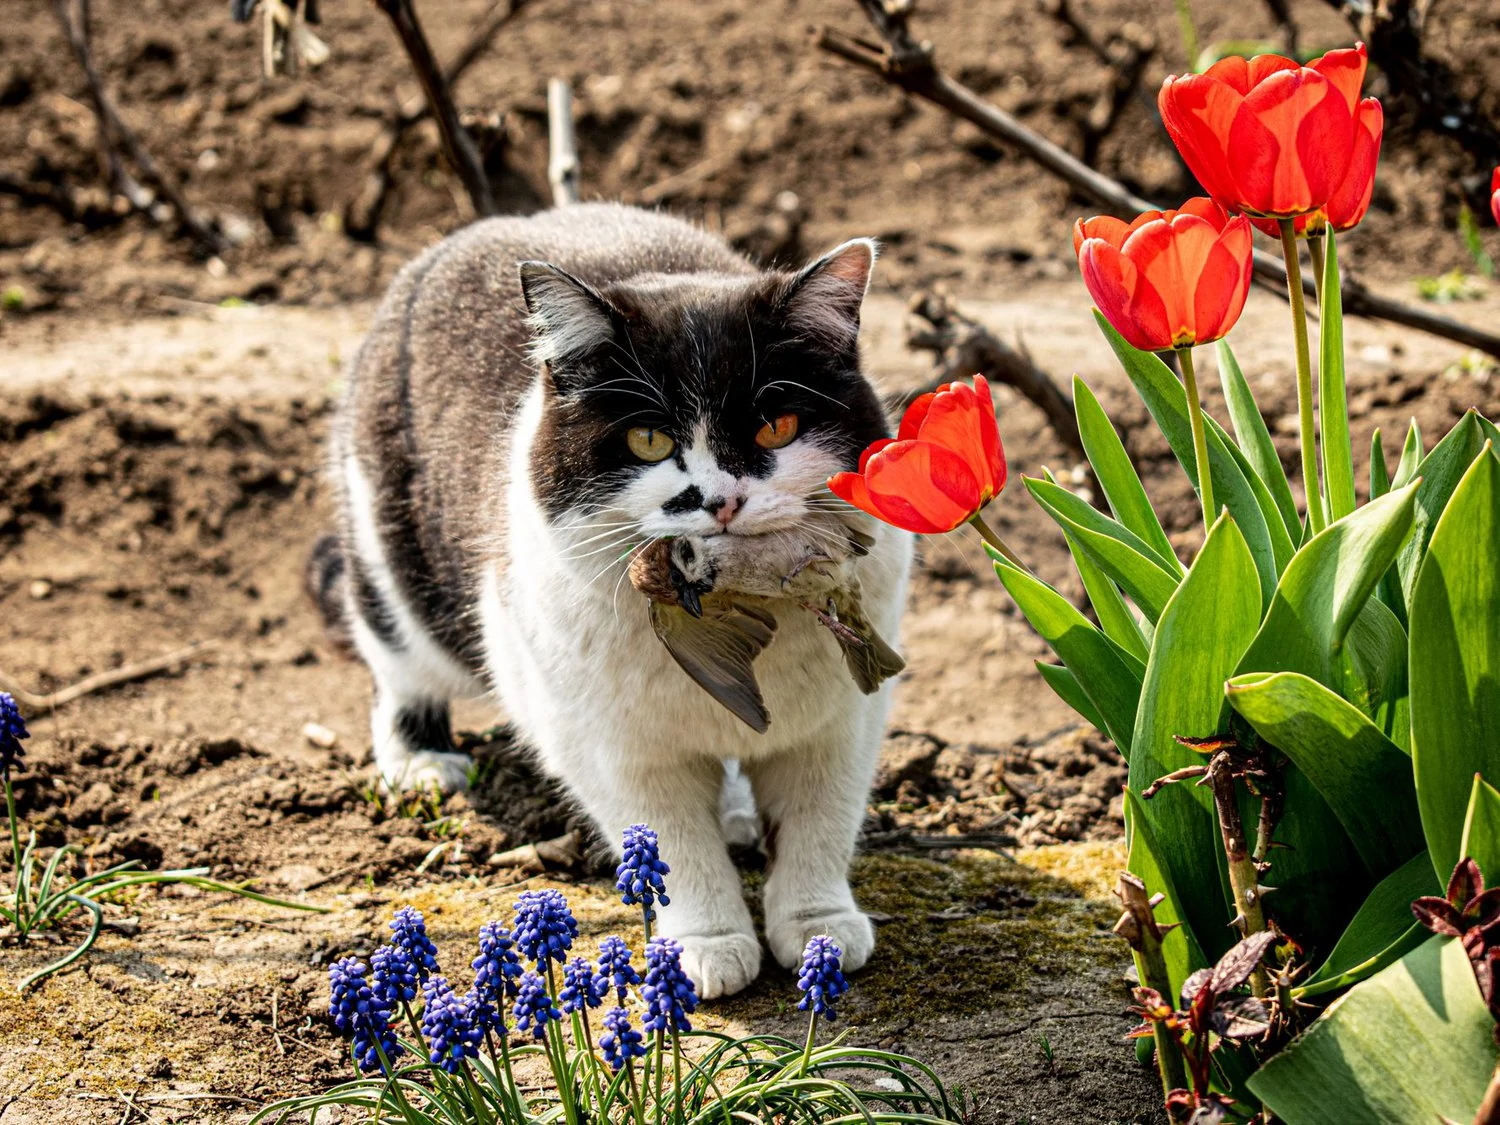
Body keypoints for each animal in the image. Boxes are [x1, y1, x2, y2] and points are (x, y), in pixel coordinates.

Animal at [316, 202, 912, 996]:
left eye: (777, 426)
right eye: (648, 440)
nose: (719, 501)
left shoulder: (841, 722)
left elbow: (820, 820)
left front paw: (819, 928)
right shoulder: (612, 743)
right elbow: (671, 842)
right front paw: (706, 943)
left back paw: (735, 811)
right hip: (394, 565)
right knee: (396, 665)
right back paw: (420, 759)